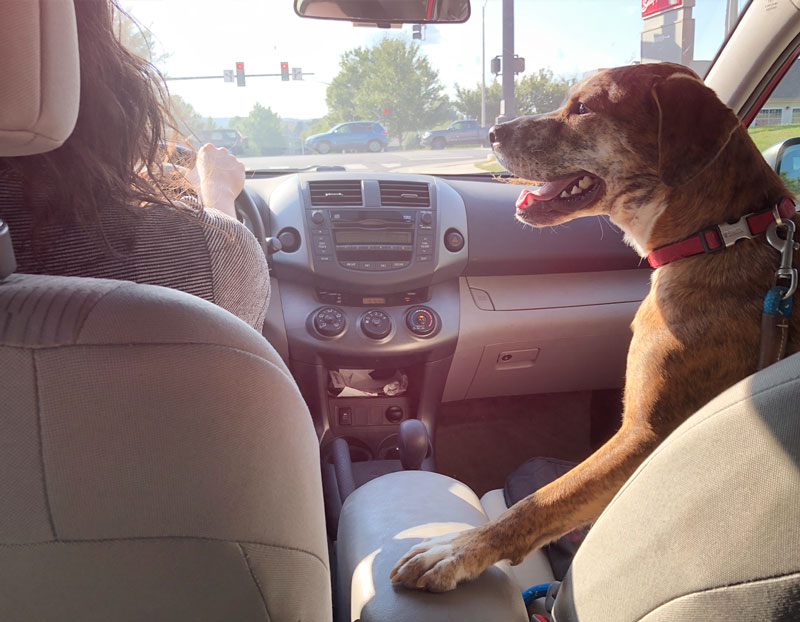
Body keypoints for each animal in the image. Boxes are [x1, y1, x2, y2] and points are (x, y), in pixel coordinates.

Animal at [390, 63, 792, 596]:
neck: (718, 236)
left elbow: (540, 500)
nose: (492, 131)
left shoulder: (644, 436)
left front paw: (457, 549)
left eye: (582, 108)